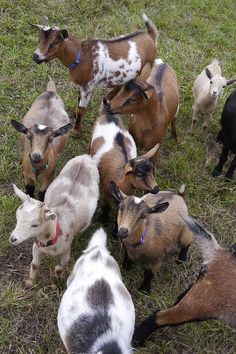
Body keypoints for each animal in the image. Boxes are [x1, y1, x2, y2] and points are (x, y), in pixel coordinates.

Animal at [9, 155, 98, 288]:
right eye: (17, 217)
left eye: (35, 225)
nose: (13, 239)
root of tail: (86, 157)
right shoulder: (37, 247)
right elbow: (34, 265)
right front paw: (30, 282)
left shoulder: (65, 253)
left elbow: (59, 269)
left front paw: (57, 285)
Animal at [30, 14, 158, 135]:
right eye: (39, 39)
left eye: (54, 43)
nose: (36, 56)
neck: (81, 56)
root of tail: (150, 36)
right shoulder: (81, 85)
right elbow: (78, 102)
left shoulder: (87, 86)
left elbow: (81, 109)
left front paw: (75, 131)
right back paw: (108, 98)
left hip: (147, 68)